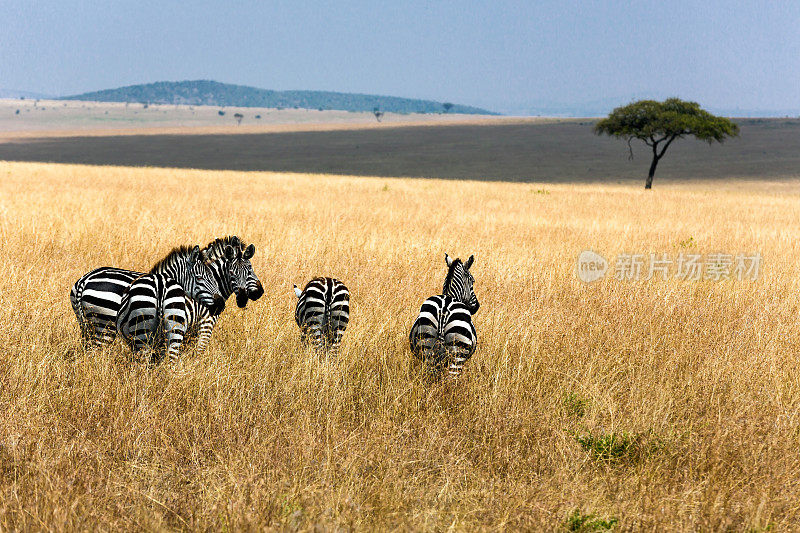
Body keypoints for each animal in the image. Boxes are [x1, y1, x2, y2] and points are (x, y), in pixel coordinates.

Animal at [69, 236, 262, 350]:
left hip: (86, 325)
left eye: (250, 269)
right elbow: (199, 351)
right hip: (105, 325)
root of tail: (85, 279)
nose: (258, 293)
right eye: (232, 274)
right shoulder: (206, 322)